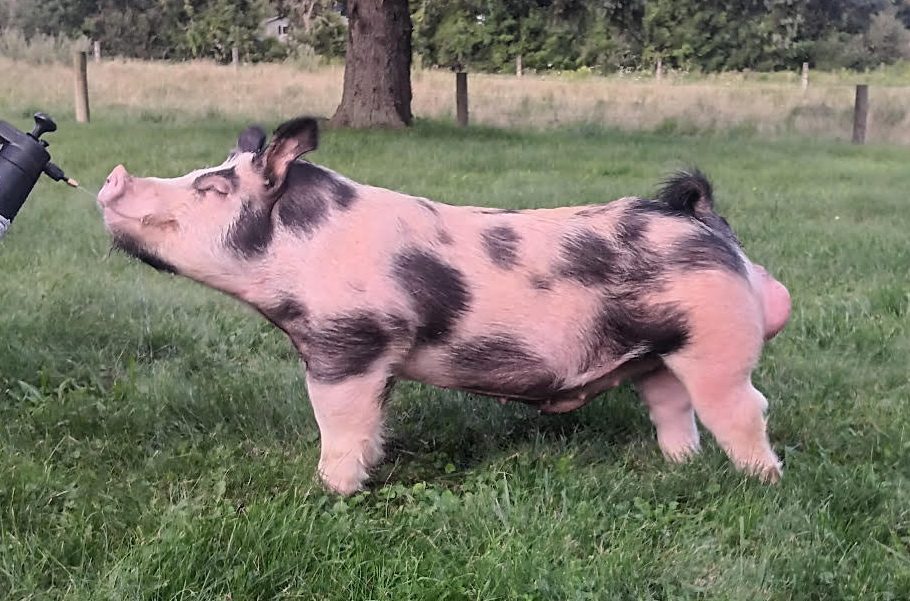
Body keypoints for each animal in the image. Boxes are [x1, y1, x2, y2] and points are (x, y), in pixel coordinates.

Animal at [97, 117, 791, 494]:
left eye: (211, 188)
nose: (113, 176)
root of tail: (704, 224)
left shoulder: (349, 343)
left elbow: (338, 424)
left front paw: (328, 492)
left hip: (717, 347)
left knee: (747, 409)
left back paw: (762, 484)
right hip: (661, 356)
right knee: (674, 410)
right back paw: (680, 468)